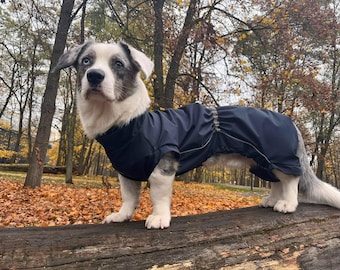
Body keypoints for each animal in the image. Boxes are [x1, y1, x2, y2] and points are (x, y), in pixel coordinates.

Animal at [53, 41, 340, 229]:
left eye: (118, 64)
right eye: (86, 61)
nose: (94, 76)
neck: (127, 124)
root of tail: (289, 121)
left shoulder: (162, 168)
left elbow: (158, 197)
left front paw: (159, 218)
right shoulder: (127, 171)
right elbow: (129, 197)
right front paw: (121, 216)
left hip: (277, 157)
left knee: (290, 181)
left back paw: (287, 204)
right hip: (261, 162)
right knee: (276, 181)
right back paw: (271, 200)